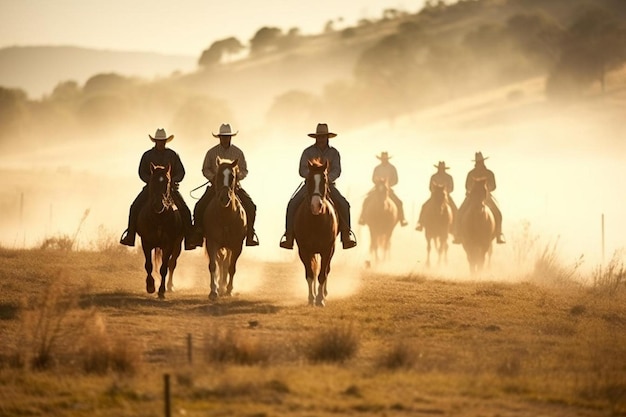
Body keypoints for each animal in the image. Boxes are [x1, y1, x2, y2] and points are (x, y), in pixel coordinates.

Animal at [136, 161, 183, 298]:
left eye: (167, 181)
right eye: (152, 180)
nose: (158, 205)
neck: (158, 217)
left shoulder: (168, 244)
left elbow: (164, 268)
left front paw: (161, 291)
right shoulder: (146, 242)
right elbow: (148, 265)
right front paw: (150, 286)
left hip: (177, 245)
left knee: (172, 264)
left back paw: (170, 286)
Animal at [202, 156, 246, 300]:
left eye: (232, 176)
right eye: (218, 175)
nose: (224, 198)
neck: (225, 217)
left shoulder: (237, 246)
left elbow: (231, 267)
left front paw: (229, 290)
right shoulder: (212, 243)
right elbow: (213, 265)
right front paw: (213, 291)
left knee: (226, 264)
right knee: (220, 262)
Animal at [294, 158, 338, 304]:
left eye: (324, 180)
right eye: (309, 179)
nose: (316, 205)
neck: (316, 222)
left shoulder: (327, 249)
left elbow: (322, 275)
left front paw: (320, 299)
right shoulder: (304, 250)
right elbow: (310, 274)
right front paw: (311, 298)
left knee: (326, 270)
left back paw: (324, 293)